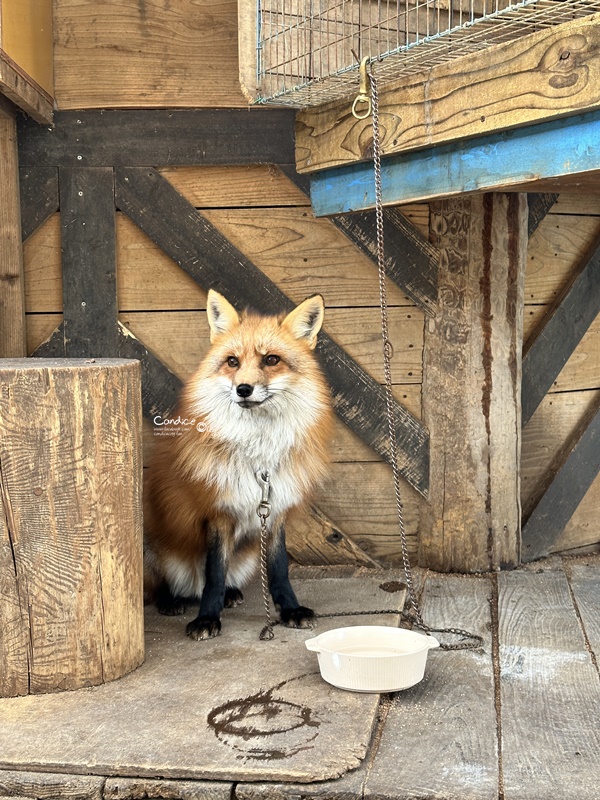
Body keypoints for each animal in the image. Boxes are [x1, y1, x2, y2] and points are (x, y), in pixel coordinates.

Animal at [145, 290, 332, 640]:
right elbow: (215, 572)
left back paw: (229, 595)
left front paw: (290, 610)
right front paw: (207, 618)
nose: (243, 389)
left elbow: (279, 570)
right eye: (232, 362)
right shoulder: (218, 513)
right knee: (163, 585)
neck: (258, 457)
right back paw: (172, 599)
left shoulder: (274, 513)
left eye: (271, 360)